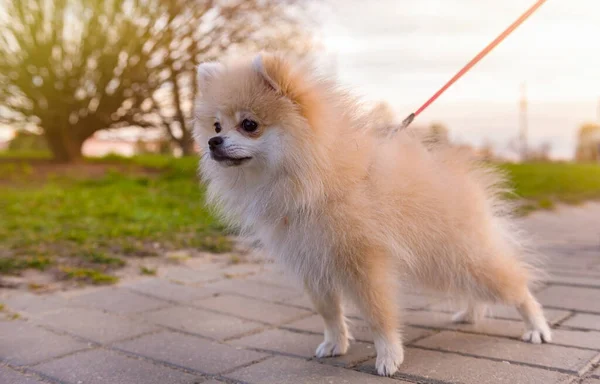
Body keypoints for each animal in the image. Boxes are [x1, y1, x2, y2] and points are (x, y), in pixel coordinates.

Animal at [195, 52, 552, 376]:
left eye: (249, 125)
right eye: (216, 125)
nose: (213, 141)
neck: (314, 178)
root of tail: (467, 182)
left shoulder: (364, 264)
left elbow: (378, 314)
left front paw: (389, 357)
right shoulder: (311, 263)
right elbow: (328, 312)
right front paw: (335, 344)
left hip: (464, 256)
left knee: (517, 286)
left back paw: (537, 327)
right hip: (442, 264)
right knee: (472, 287)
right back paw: (471, 313)